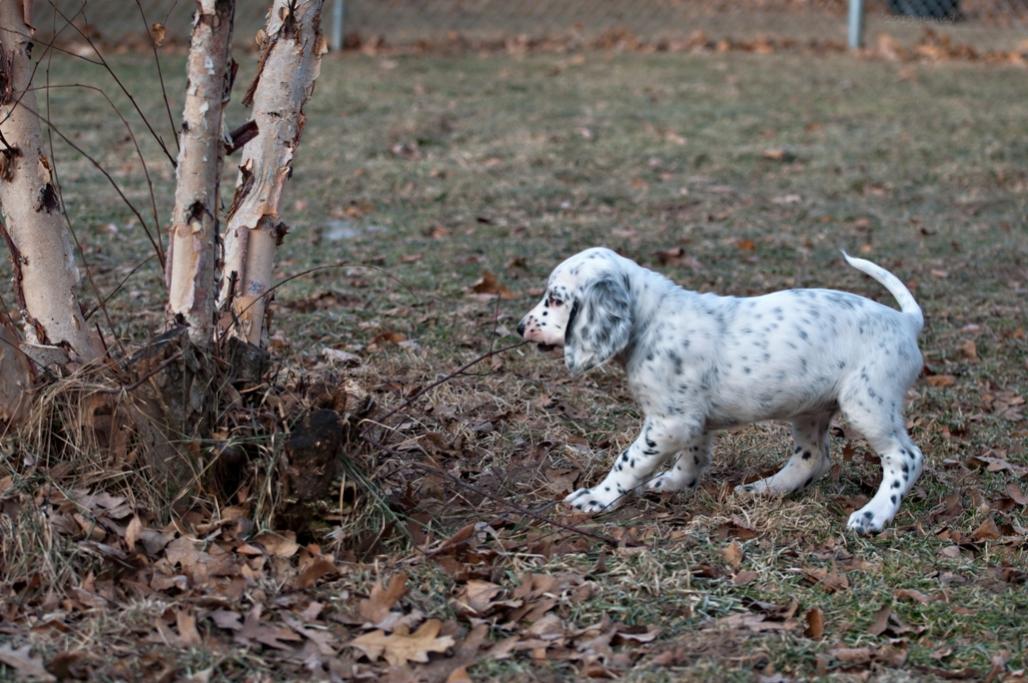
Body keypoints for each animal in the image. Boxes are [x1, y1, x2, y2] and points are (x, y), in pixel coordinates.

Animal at [518, 245, 929, 534]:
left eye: (555, 299)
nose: (521, 327)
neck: (651, 321)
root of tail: (905, 321)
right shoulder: (689, 418)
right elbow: (693, 454)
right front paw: (675, 482)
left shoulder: (669, 422)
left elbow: (628, 460)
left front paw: (596, 497)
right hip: (810, 408)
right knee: (813, 456)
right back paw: (766, 488)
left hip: (868, 404)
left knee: (905, 457)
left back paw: (873, 515)